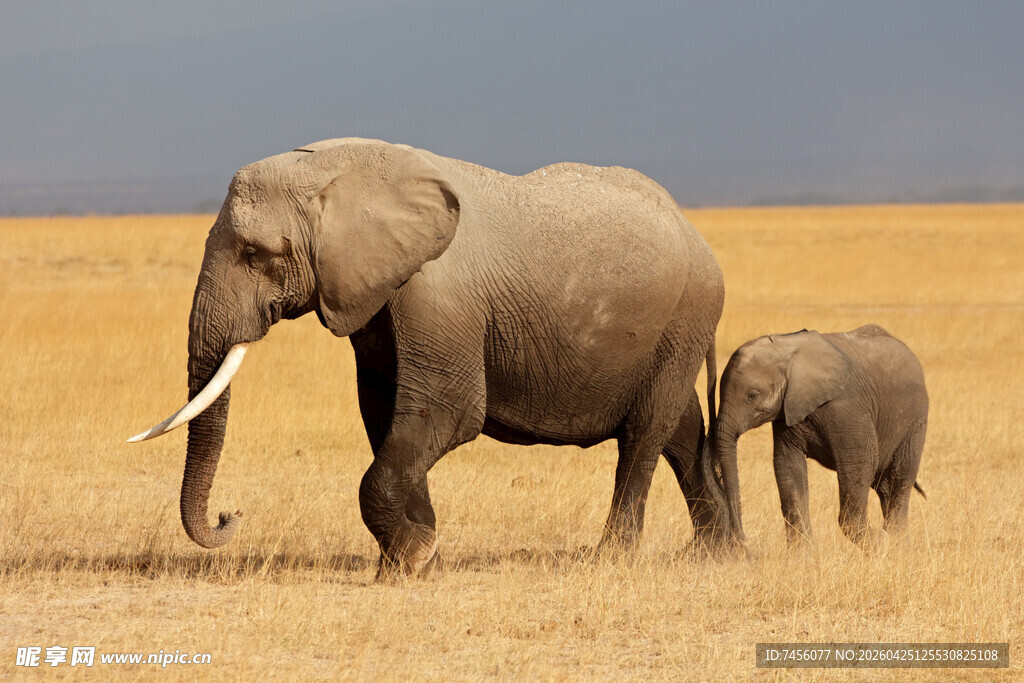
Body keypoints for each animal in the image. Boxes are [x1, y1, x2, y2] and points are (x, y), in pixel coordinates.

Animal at [130, 138, 729, 576]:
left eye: (256, 254)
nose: (230, 515)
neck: (340, 170)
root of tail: (697, 233)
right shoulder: (372, 294)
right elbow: (384, 414)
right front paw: (416, 554)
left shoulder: (436, 294)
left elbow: (448, 412)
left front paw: (411, 560)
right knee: (681, 428)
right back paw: (720, 551)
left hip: (686, 315)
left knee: (644, 433)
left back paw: (611, 558)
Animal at [708, 325, 927, 547]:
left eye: (752, 395)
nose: (743, 539)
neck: (787, 349)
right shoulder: (787, 411)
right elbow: (787, 466)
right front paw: (800, 554)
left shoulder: (847, 407)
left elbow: (860, 462)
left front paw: (879, 541)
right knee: (884, 485)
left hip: (916, 420)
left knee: (899, 478)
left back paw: (895, 541)